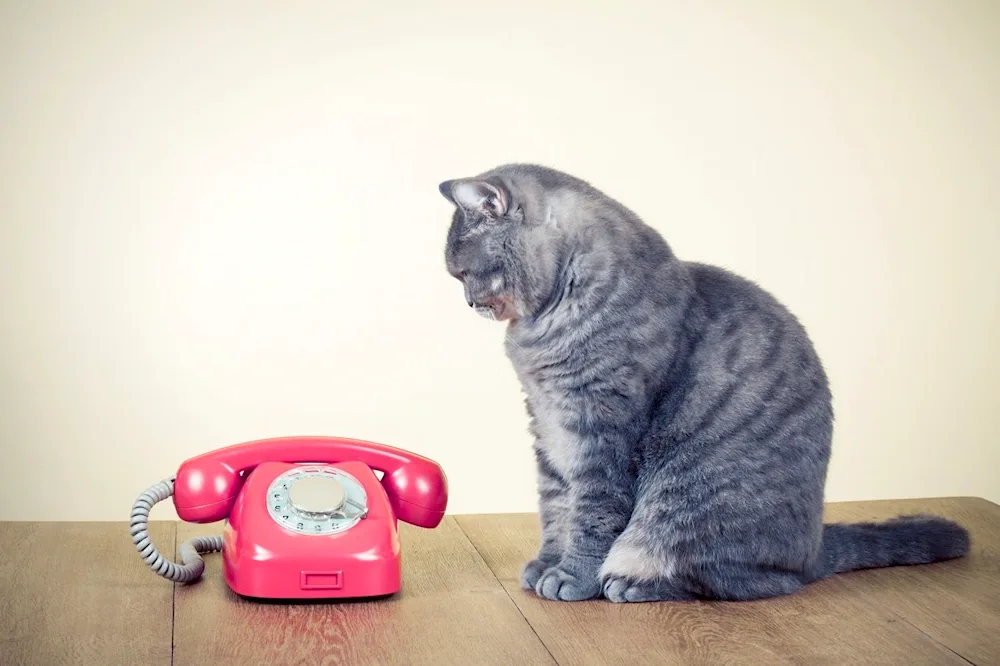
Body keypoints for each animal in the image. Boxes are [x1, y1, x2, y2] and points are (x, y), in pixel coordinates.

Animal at [438, 163, 968, 600]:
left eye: (464, 273)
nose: (468, 302)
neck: (543, 326)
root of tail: (816, 547)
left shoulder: (602, 429)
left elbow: (592, 513)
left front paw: (572, 576)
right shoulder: (548, 427)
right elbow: (555, 505)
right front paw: (547, 564)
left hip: (687, 506)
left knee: (746, 579)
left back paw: (632, 583)